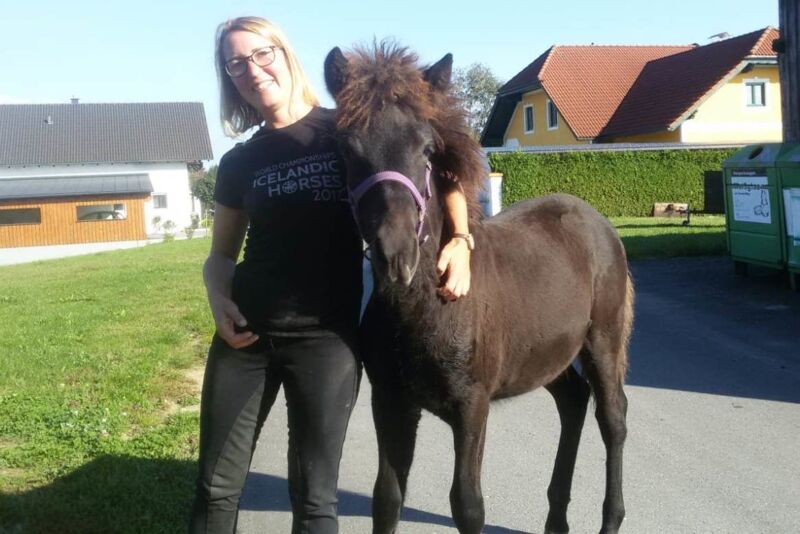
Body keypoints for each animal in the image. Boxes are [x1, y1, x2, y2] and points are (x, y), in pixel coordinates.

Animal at [324, 42, 634, 534]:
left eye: (427, 149)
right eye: (347, 149)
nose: (396, 256)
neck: (426, 308)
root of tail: (596, 220)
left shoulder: (472, 407)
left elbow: (468, 505)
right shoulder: (390, 400)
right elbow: (386, 497)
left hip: (602, 340)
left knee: (613, 419)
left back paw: (611, 517)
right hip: (545, 352)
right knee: (573, 402)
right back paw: (556, 520)